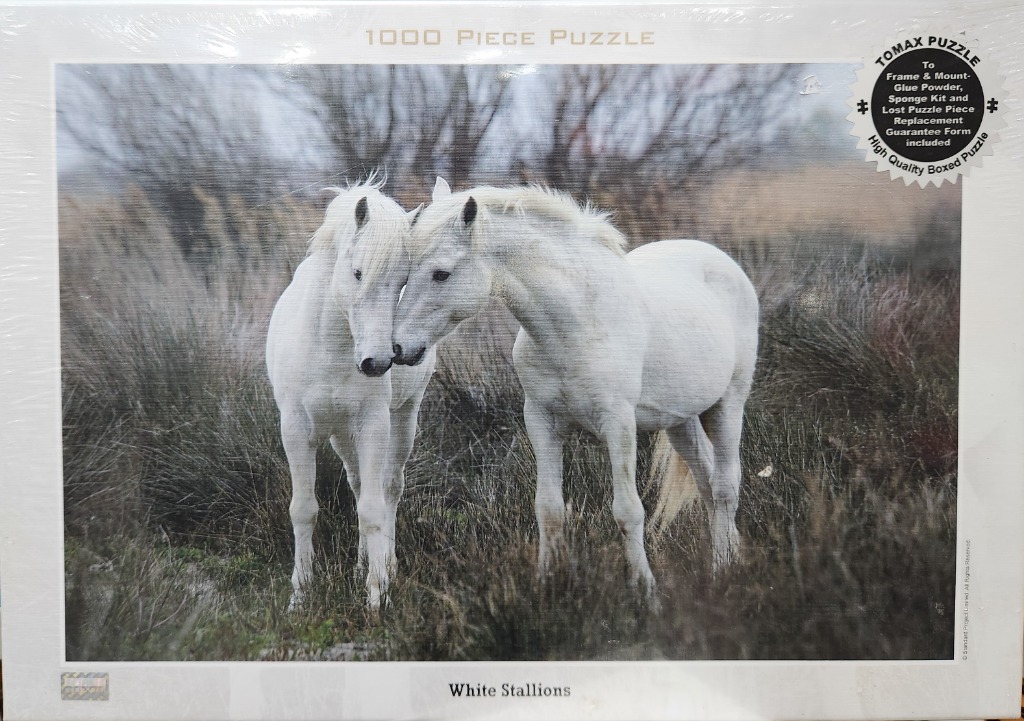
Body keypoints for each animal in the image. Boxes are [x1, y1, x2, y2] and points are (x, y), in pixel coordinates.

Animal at [266, 180, 435, 610]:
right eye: (357, 272)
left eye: (402, 280)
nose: (377, 362)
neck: (330, 346)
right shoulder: (296, 431)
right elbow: (304, 510)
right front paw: (300, 595)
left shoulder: (373, 425)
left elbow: (373, 509)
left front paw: (377, 597)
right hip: (342, 435)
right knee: (359, 485)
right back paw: (361, 565)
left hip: (403, 418)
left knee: (388, 489)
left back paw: (386, 566)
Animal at [391, 178, 758, 596]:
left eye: (441, 274)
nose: (398, 348)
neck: (577, 321)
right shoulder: (541, 422)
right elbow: (548, 509)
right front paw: (546, 582)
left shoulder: (619, 426)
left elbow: (628, 511)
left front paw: (645, 590)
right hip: (681, 421)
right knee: (707, 484)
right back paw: (727, 556)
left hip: (729, 404)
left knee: (725, 487)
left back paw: (722, 568)